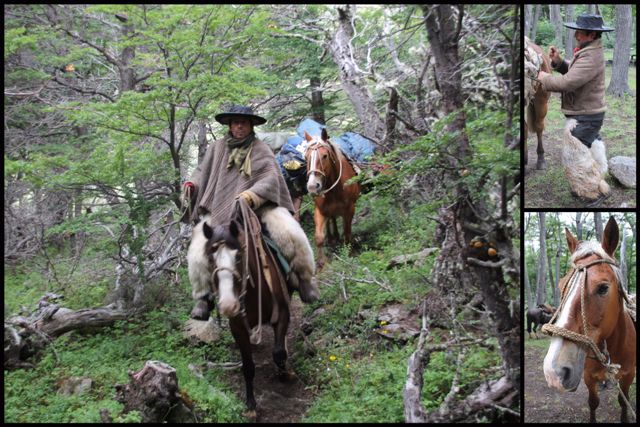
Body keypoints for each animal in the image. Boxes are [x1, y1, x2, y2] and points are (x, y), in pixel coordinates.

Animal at [201, 203, 292, 418]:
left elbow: (278, 353)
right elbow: (248, 366)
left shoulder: (282, 313)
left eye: (239, 256)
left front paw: (284, 374)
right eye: (210, 259)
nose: (228, 305)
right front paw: (250, 404)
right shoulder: (238, 328)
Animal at [304, 128, 360, 268]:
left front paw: (349, 253)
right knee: (331, 220)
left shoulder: (349, 210)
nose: (312, 186)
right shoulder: (319, 211)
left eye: (324, 156)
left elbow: (347, 231)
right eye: (306, 157)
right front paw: (322, 262)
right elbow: (318, 237)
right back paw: (332, 238)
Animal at [544, 219, 636, 422]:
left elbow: (623, 401)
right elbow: (593, 403)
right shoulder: (588, 376)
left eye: (603, 288)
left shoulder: (628, 375)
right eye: (561, 286)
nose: (553, 372)